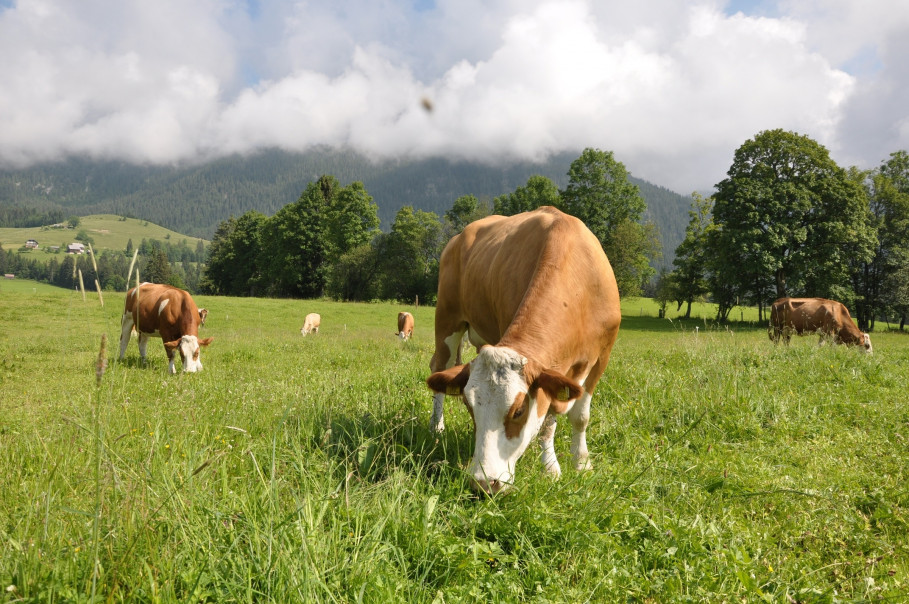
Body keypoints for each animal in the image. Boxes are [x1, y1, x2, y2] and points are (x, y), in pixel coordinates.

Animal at [430, 205, 620, 494]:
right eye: (468, 405)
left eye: (518, 411)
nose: (484, 482)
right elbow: (547, 422)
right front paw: (551, 468)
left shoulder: (602, 356)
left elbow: (580, 416)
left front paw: (581, 463)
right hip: (447, 321)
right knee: (440, 367)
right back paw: (437, 427)